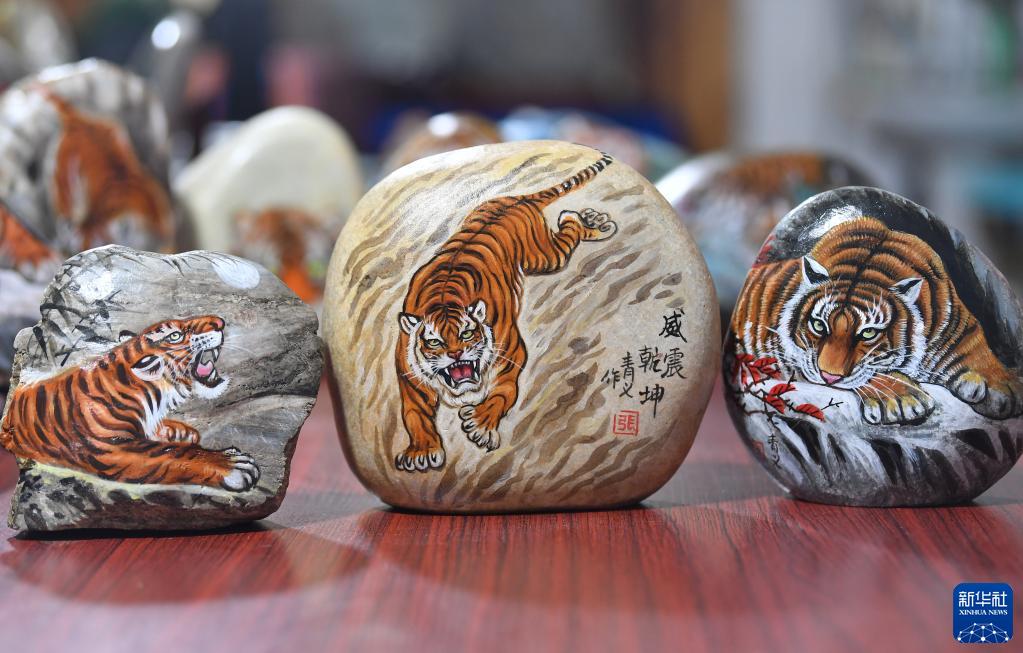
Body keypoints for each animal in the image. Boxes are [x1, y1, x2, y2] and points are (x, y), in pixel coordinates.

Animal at [0, 315, 260, 491]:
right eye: (175, 336)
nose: (220, 322)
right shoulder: (113, 448)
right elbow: (173, 454)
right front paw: (234, 464)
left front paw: (183, 432)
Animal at [395, 152, 617, 472]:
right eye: (434, 342)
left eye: (467, 334)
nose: (456, 354)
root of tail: (516, 198)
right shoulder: (409, 377)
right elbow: (413, 416)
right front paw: (422, 451)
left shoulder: (512, 353)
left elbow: (504, 392)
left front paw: (480, 425)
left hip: (544, 256)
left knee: (568, 228)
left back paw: (593, 222)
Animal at [731, 215, 1023, 425]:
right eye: (818, 325)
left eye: (868, 333)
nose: (829, 377)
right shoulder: (794, 357)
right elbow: (869, 372)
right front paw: (902, 401)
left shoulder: (957, 326)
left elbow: (975, 347)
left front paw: (1007, 389)